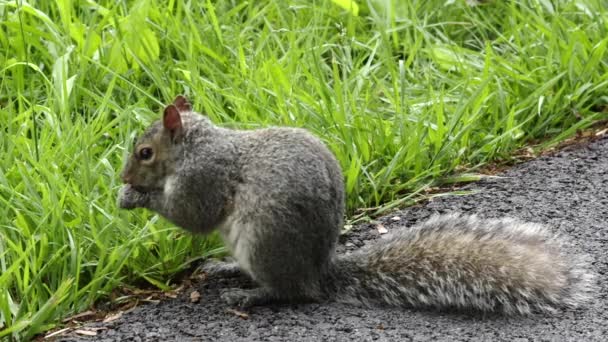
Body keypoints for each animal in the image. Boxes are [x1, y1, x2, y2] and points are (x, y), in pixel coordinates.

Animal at [117, 95, 592, 314]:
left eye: (145, 153)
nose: (123, 178)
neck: (196, 146)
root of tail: (321, 271)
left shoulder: (205, 178)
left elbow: (193, 216)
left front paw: (137, 198)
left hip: (264, 242)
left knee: (294, 293)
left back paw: (250, 295)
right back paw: (225, 269)